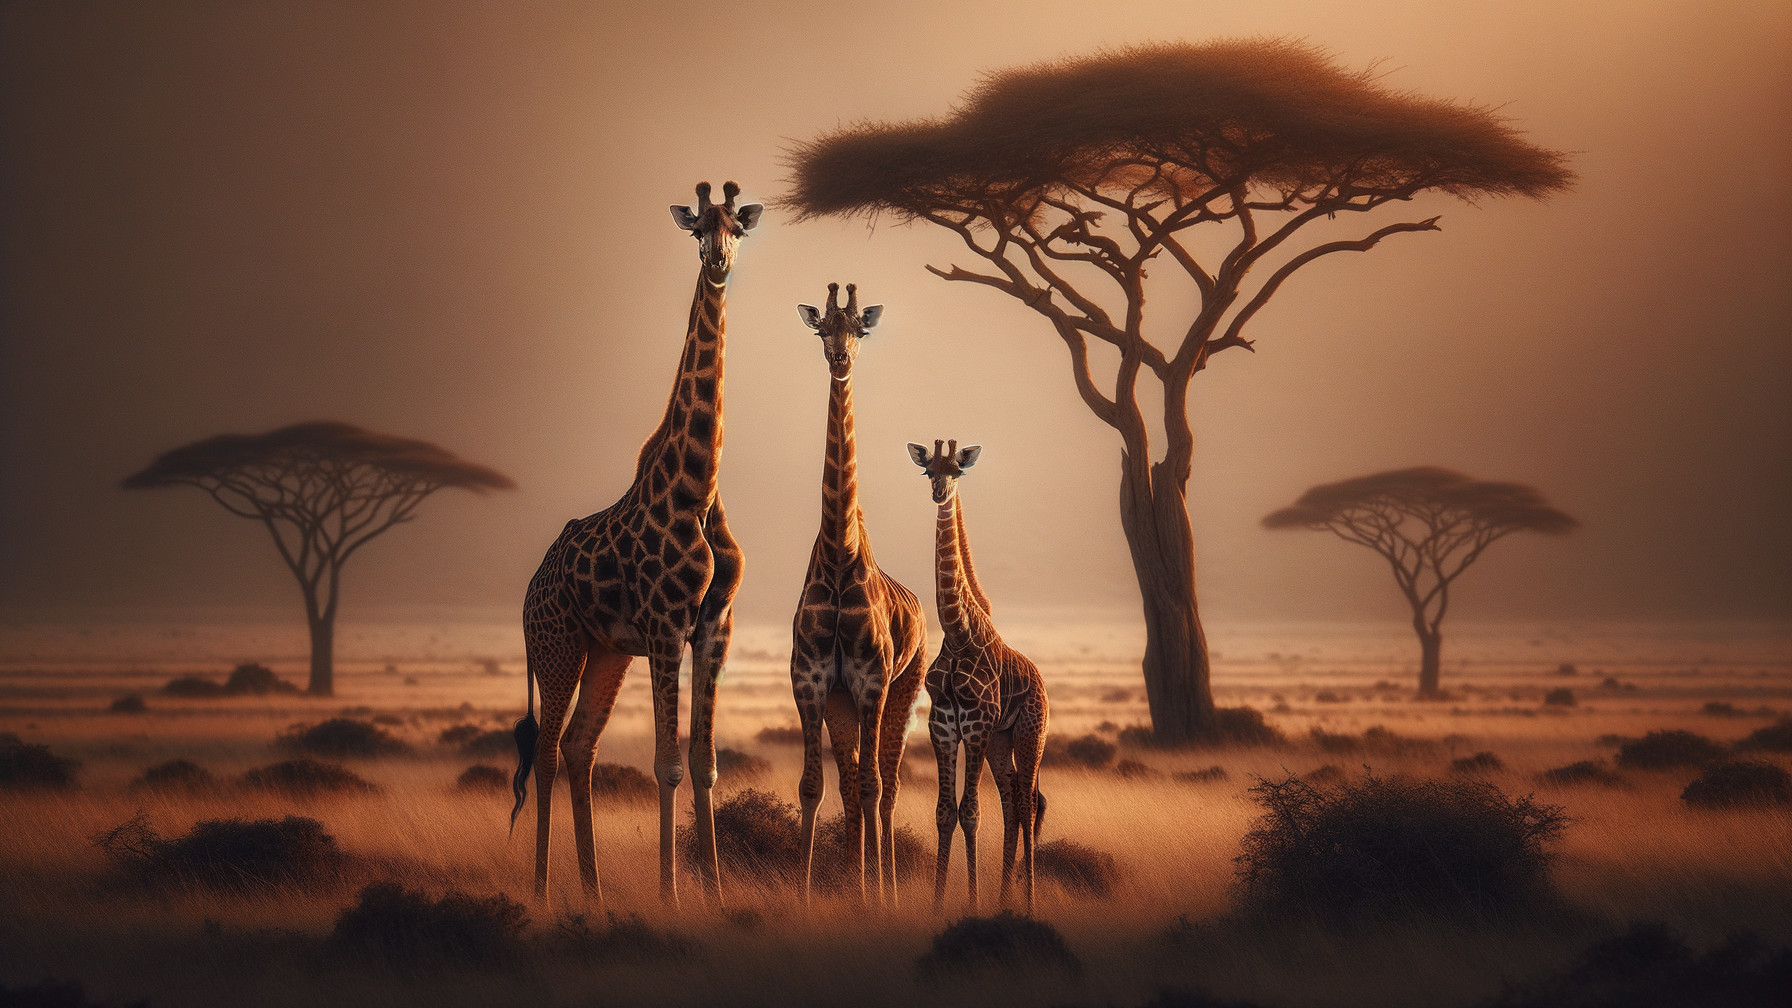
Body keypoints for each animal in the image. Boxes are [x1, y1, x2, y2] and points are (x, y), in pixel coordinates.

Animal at [513, 180, 762, 909]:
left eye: (739, 226)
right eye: (697, 229)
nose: (718, 261)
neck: (698, 487)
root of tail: (528, 591)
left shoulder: (714, 628)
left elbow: (705, 765)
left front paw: (715, 894)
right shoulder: (665, 625)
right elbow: (667, 764)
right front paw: (671, 896)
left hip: (605, 652)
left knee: (579, 747)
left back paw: (594, 892)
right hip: (559, 645)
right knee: (546, 749)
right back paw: (542, 891)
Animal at [908, 439, 1050, 915]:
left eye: (958, 471)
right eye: (927, 470)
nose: (938, 493)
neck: (958, 631)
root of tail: (1042, 683)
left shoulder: (977, 725)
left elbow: (971, 812)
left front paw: (969, 902)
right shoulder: (943, 726)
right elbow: (944, 812)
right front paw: (937, 906)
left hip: (1028, 732)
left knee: (1028, 801)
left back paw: (1028, 901)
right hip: (1002, 742)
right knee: (1012, 801)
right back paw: (1005, 897)